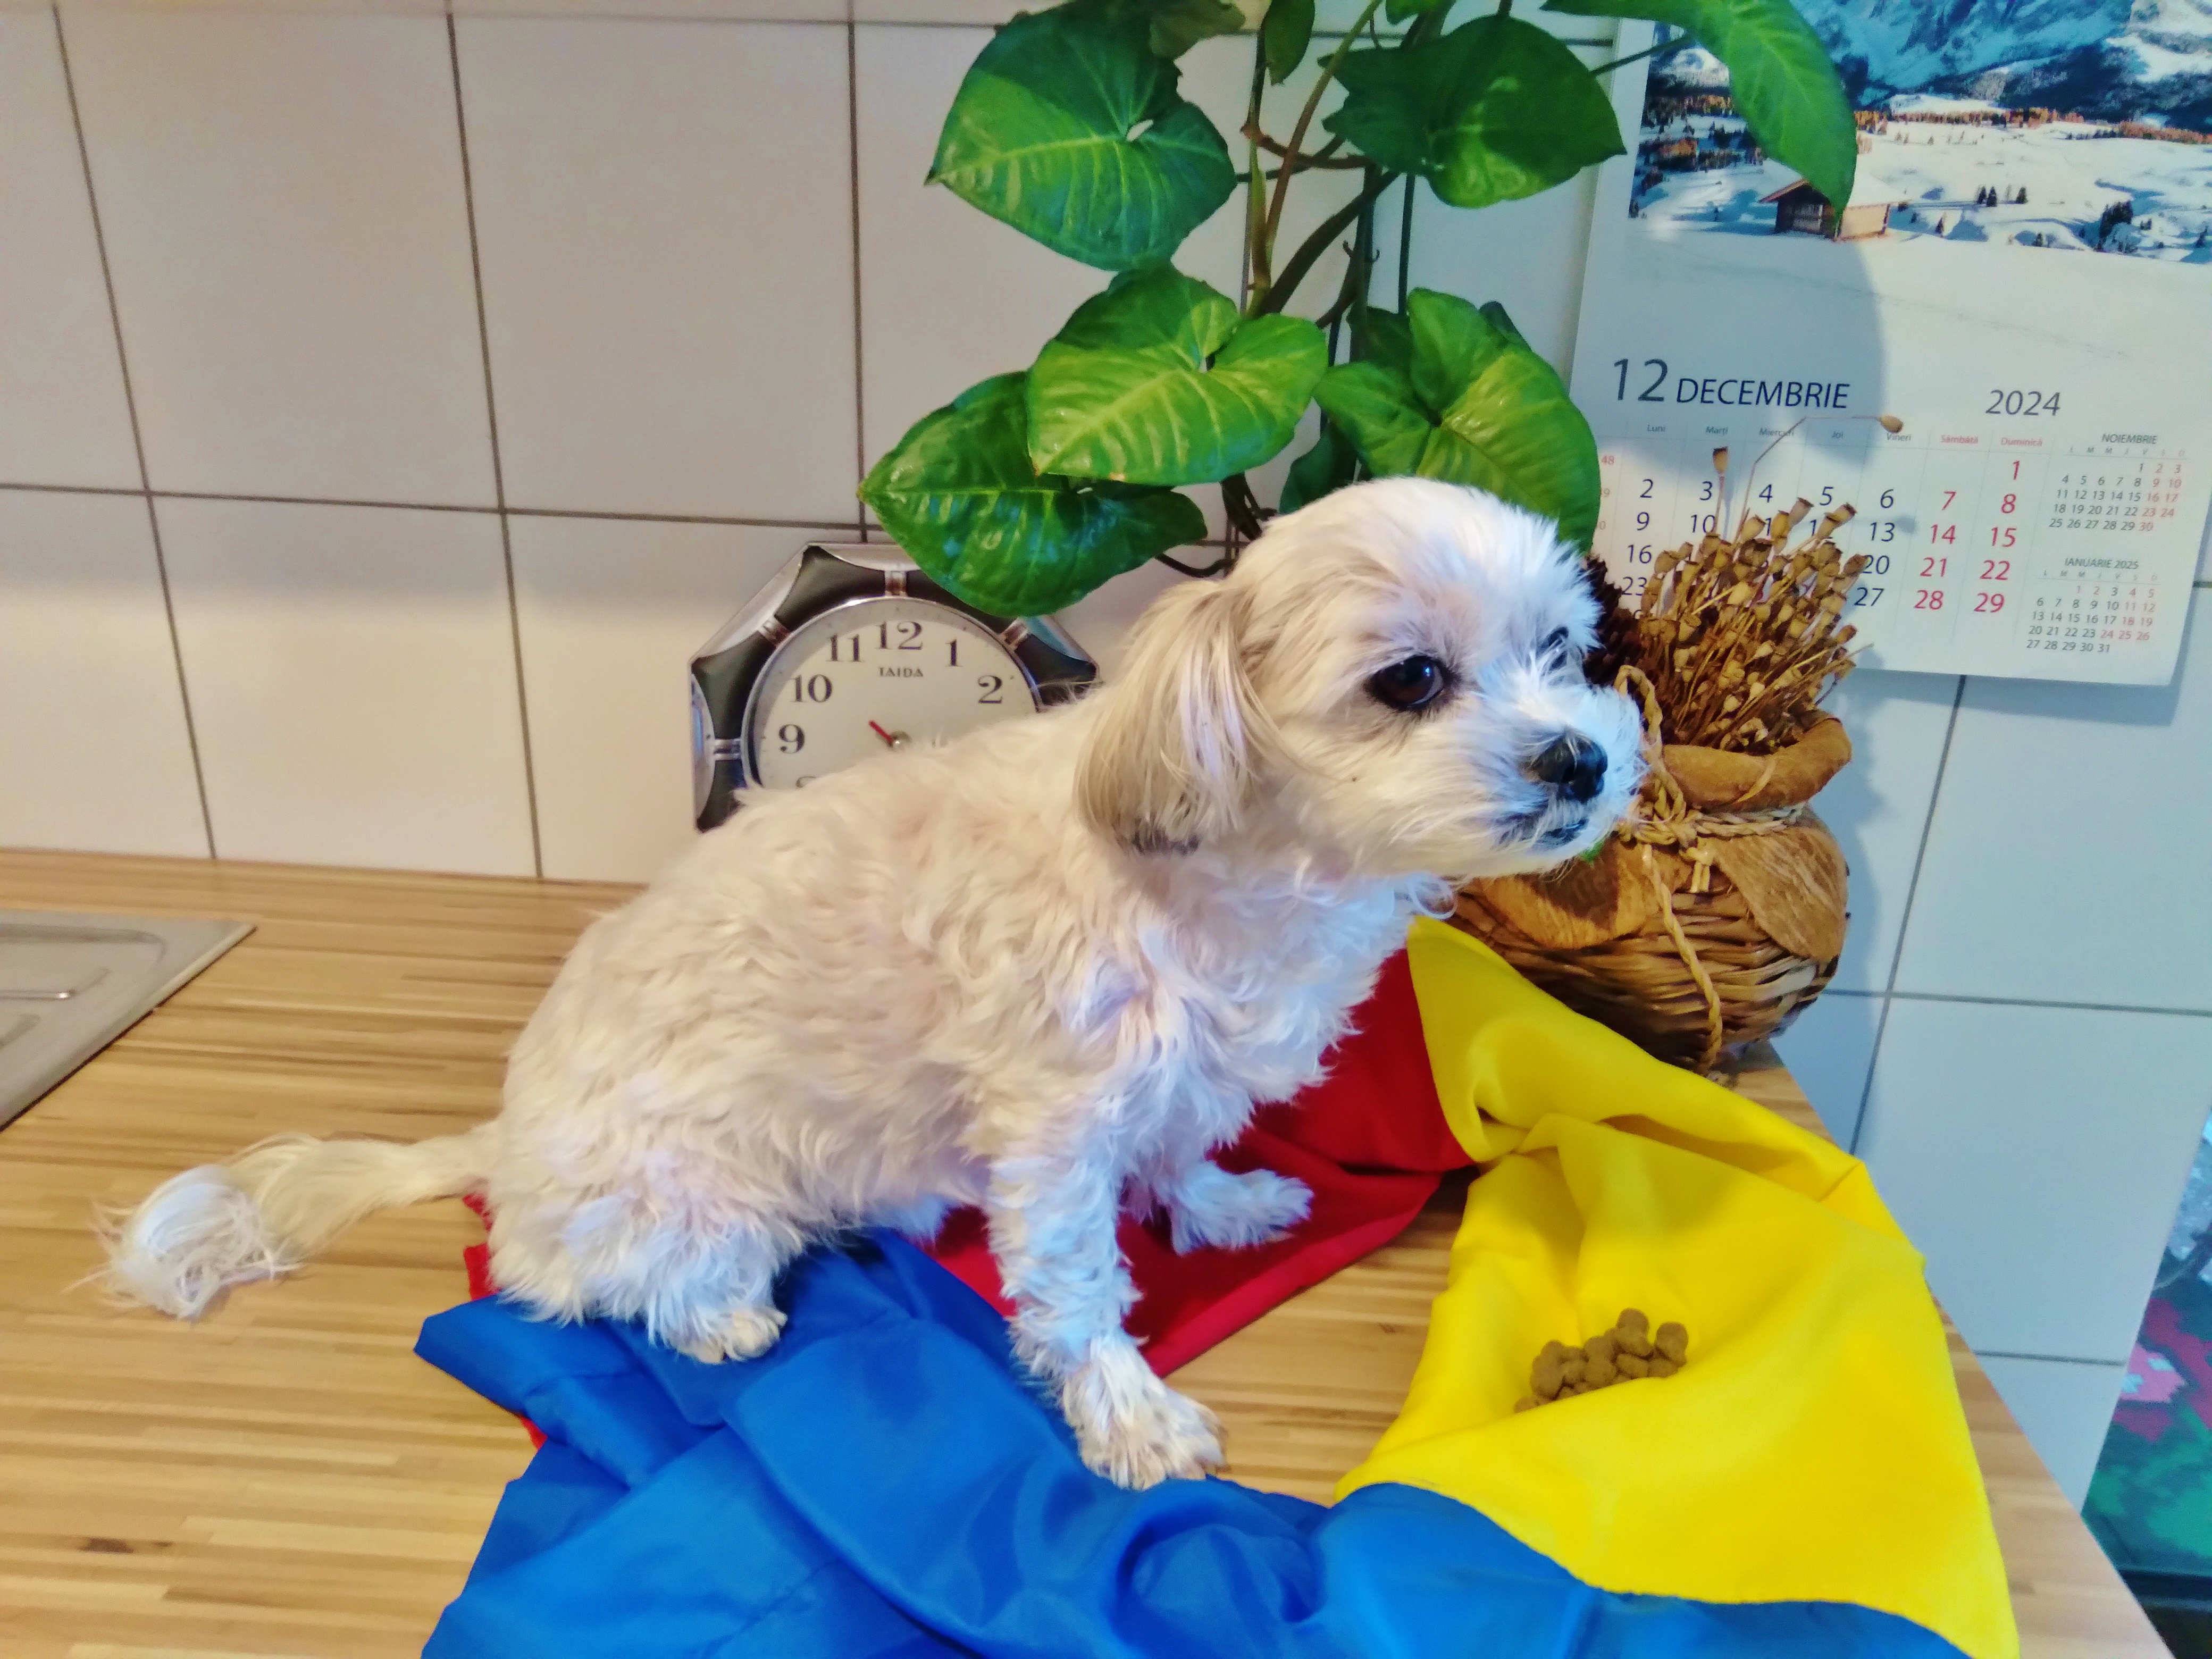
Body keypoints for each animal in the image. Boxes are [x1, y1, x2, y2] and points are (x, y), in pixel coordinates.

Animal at [100, 478, 1644, 1488]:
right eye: (1411, 680)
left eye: (1563, 651)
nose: (1581, 757)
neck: (1239, 867)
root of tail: (505, 1143)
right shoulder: (1054, 1125)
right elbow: (1079, 1286)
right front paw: (1129, 1412)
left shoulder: (1169, 1077)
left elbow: (1180, 1148)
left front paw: (1218, 1204)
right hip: (689, 1203)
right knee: (584, 1286)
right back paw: (714, 1312)